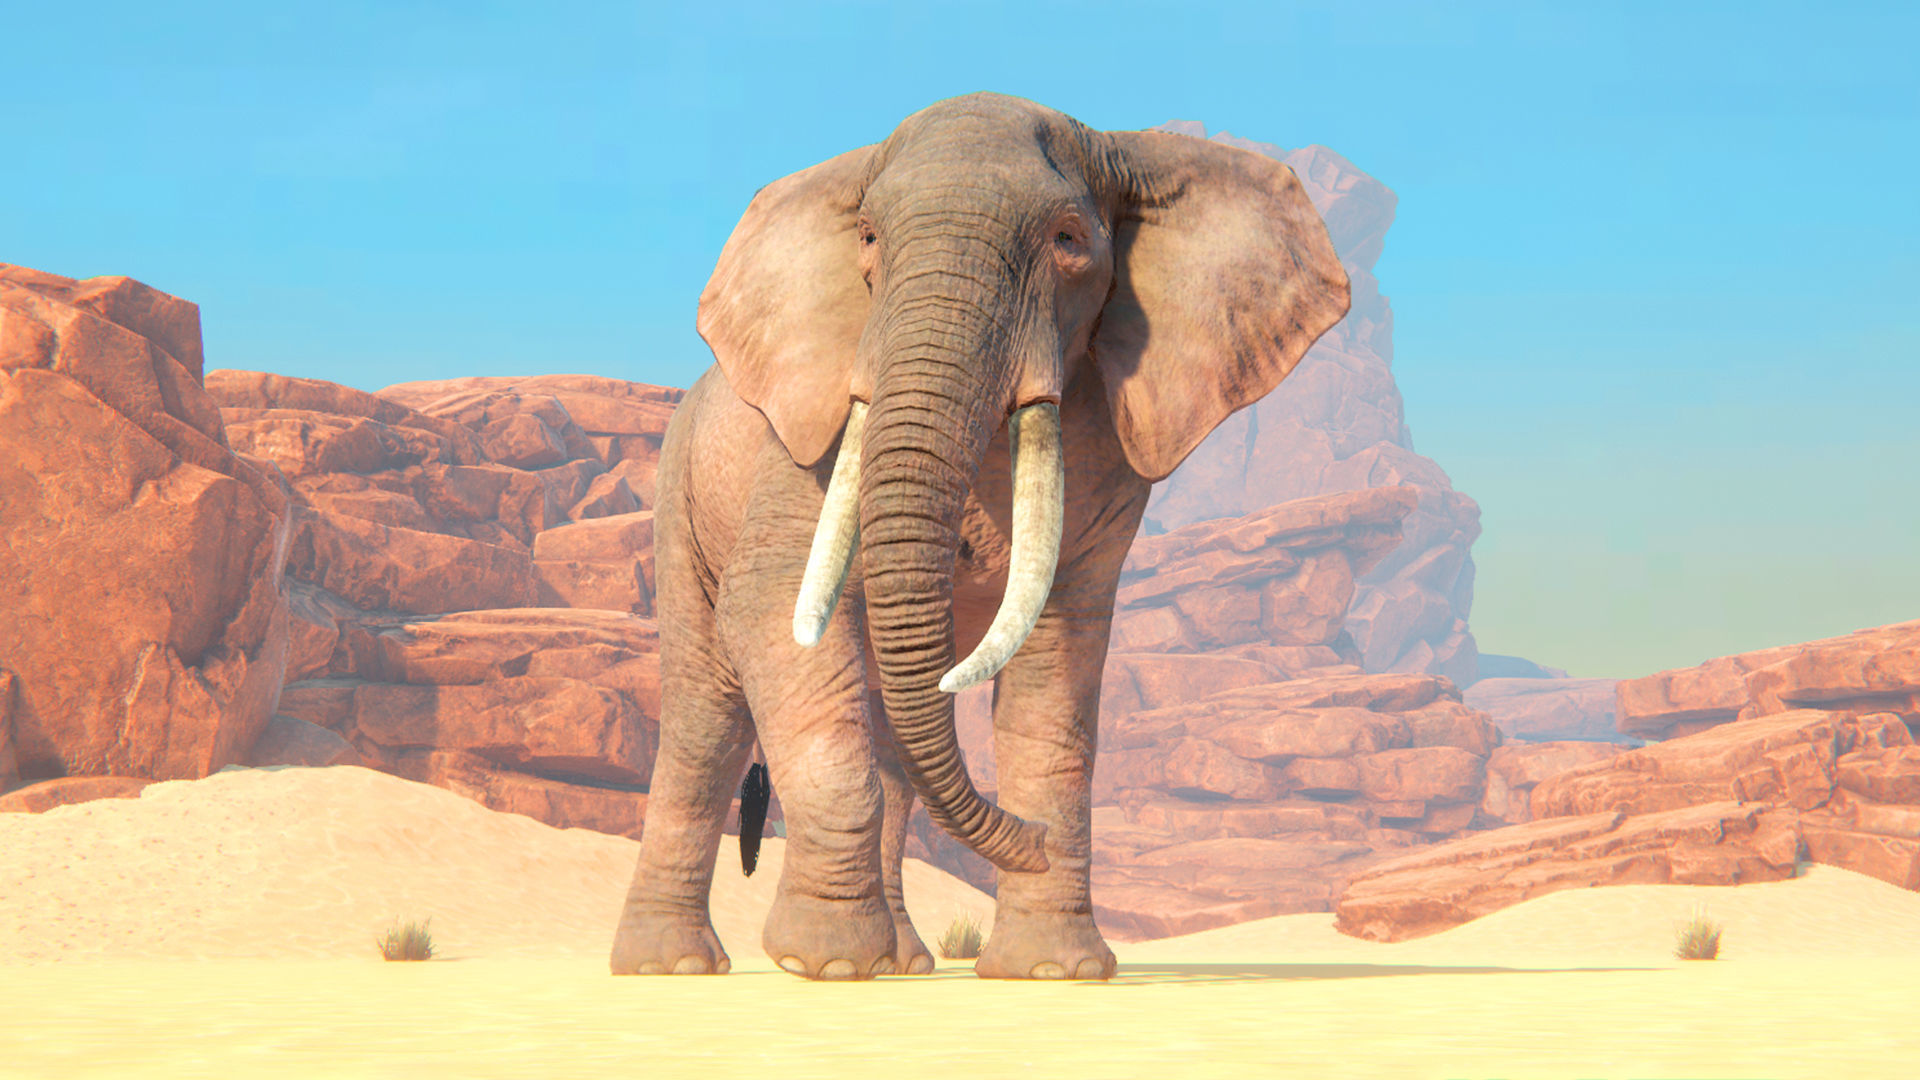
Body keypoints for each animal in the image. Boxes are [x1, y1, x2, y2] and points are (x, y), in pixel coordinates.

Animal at [608, 92, 1349, 981]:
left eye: (1069, 240)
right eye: (867, 239)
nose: (1031, 840)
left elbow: (1056, 650)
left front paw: (1051, 972)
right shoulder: (806, 437)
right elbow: (773, 604)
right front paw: (824, 965)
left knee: (888, 738)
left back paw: (902, 965)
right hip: (680, 495)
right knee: (707, 721)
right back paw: (673, 967)